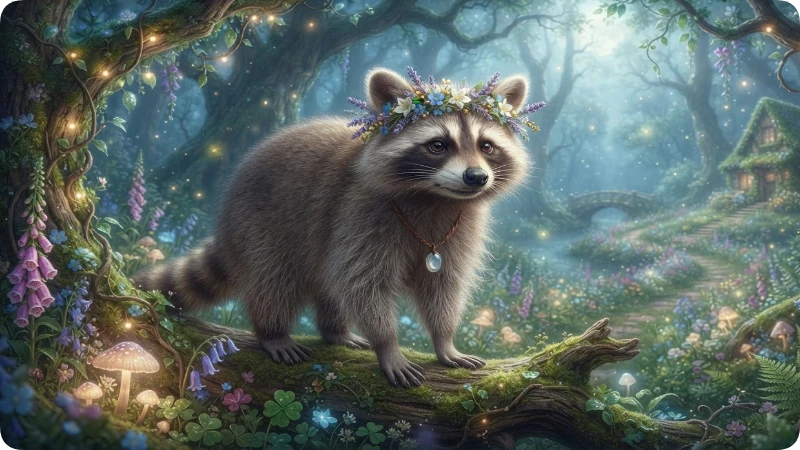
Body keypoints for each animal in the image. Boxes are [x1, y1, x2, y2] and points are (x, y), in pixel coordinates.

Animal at [134, 68, 530, 387]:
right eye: (437, 145)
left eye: (486, 146)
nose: (476, 177)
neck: (433, 196)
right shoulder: (360, 212)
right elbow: (364, 284)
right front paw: (388, 345)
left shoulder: (458, 228)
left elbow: (443, 285)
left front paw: (444, 339)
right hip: (261, 222)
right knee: (274, 278)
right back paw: (272, 331)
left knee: (327, 281)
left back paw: (334, 330)